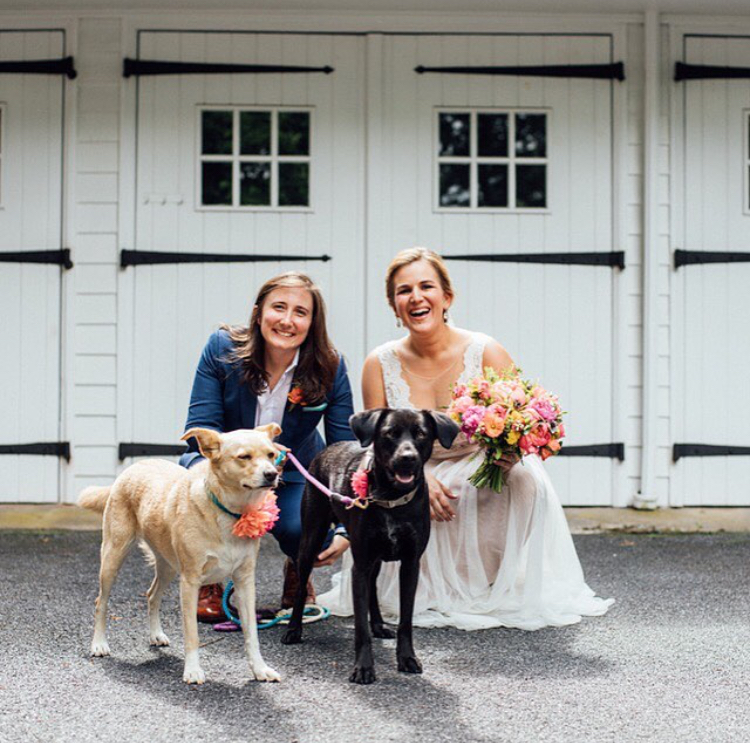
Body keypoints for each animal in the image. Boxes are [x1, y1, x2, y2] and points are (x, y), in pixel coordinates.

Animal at [78, 424, 284, 684]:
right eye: (244, 457)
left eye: (271, 455)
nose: (271, 474)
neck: (228, 512)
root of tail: (135, 466)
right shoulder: (190, 582)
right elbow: (192, 634)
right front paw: (193, 670)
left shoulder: (245, 581)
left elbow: (252, 634)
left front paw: (259, 669)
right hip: (113, 558)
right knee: (101, 602)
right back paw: (99, 644)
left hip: (167, 566)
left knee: (151, 596)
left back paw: (155, 634)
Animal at [280, 410, 458, 684]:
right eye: (389, 433)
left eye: (421, 434)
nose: (407, 458)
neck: (392, 498)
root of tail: (328, 448)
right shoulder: (360, 565)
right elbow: (360, 627)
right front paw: (363, 668)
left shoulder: (410, 564)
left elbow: (405, 620)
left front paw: (407, 658)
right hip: (311, 538)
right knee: (301, 586)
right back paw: (293, 629)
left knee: (373, 587)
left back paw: (379, 625)